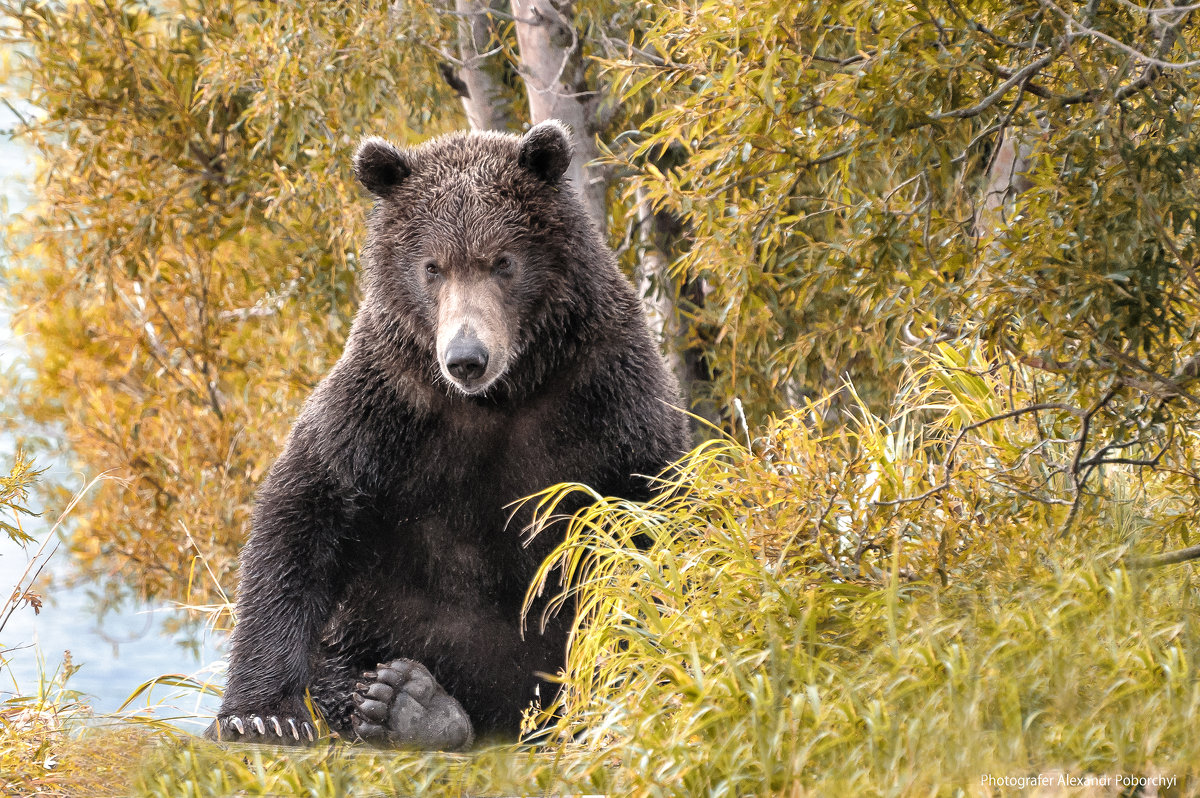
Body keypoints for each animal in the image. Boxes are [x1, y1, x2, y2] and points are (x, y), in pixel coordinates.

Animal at [205, 118, 691, 748]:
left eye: (502, 261)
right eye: (432, 266)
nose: (466, 357)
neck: (503, 395)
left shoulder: (604, 391)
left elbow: (650, 517)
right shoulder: (389, 402)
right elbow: (307, 509)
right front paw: (260, 714)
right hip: (369, 630)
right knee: (338, 668)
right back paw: (408, 703)